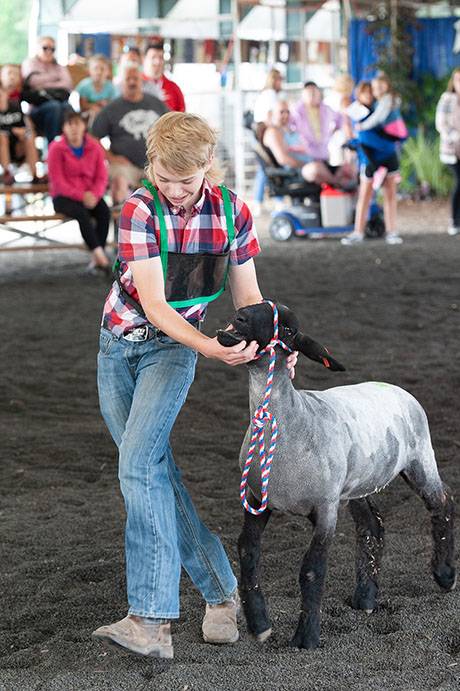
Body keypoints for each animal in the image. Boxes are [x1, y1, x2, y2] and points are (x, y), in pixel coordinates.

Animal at [217, 302, 454, 648]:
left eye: (288, 329)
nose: (241, 315)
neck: (292, 423)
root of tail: (395, 387)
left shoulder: (326, 508)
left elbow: (312, 571)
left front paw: (306, 637)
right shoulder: (257, 499)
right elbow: (247, 553)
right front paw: (259, 623)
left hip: (420, 458)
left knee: (442, 502)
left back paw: (445, 574)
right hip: (358, 483)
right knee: (372, 525)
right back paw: (366, 597)